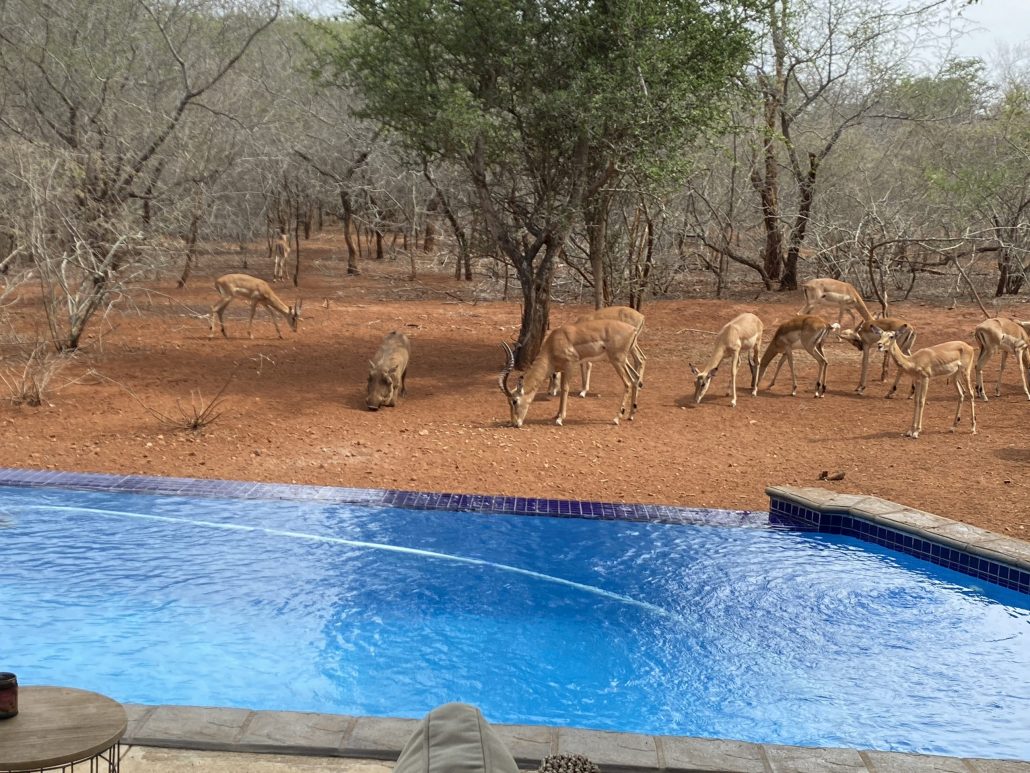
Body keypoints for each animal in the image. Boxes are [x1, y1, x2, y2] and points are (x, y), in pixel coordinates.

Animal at [499, 319, 641, 428]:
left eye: (514, 401)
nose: (515, 423)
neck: (554, 343)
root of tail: (632, 329)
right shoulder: (561, 369)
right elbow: (561, 390)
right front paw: (556, 415)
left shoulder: (569, 366)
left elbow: (565, 389)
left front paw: (560, 419)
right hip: (623, 361)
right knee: (635, 379)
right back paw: (630, 415)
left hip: (617, 361)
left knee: (628, 383)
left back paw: (616, 418)